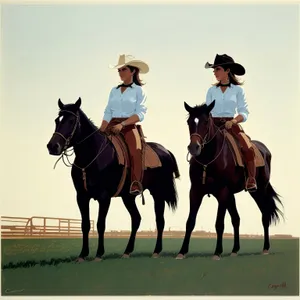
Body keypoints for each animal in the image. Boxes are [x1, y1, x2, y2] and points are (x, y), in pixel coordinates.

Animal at [47, 98, 180, 260]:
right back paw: (127, 251)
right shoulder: (81, 197)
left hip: (158, 193)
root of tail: (166, 151)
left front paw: (99, 254)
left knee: (160, 221)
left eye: (72, 121)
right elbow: (85, 225)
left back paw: (156, 251)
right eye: (57, 120)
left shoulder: (104, 197)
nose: (53, 146)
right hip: (128, 197)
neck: (92, 157)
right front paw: (83, 255)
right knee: (136, 219)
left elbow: (100, 224)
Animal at [175, 101, 282, 260]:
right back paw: (235, 250)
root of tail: (265, 150)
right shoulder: (195, 191)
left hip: (259, 191)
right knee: (236, 219)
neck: (208, 160)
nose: (194, 147)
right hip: (233, 195)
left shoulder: (222, 192)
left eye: (206, 122)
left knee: (265, 215)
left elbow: (219, 223)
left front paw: (217, 252)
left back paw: (265, 248)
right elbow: (190, 222)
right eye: (189, 122)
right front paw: (182, 252)